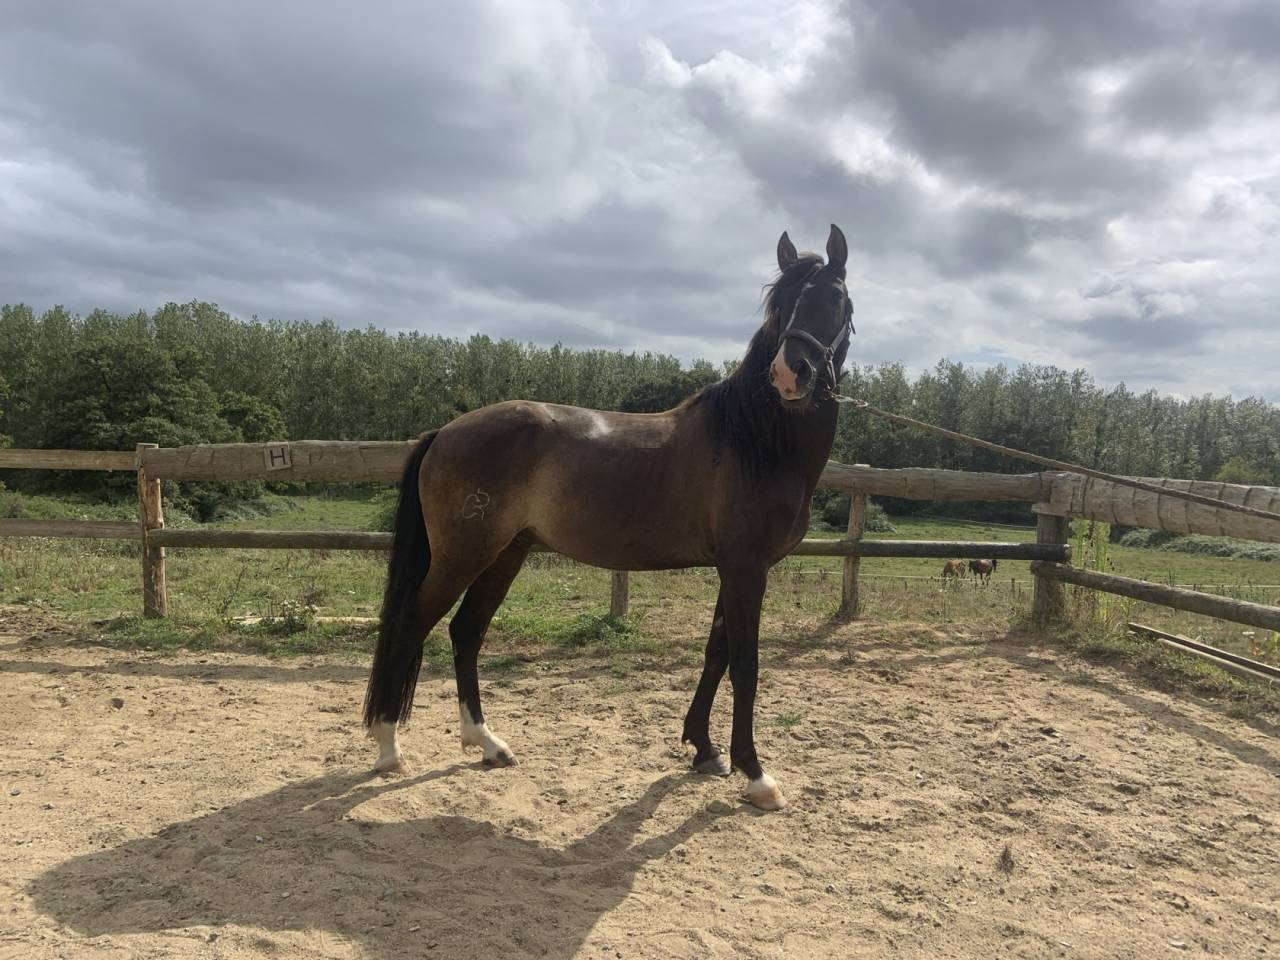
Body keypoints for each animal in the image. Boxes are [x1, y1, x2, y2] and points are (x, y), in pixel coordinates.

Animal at [363, 225, 855, 812]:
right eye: (781, 305)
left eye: (833, 297)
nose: (789, 373)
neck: (753, 440)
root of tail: (444, 432)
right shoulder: (746, 569)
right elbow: (745, 665)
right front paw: (755, 774)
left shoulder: (734, 569)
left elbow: (715, 653)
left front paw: (704, 749)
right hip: (463, 556)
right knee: (412, 625)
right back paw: (389, 749)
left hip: (506, 553)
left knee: (466, 631)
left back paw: (486, 743)